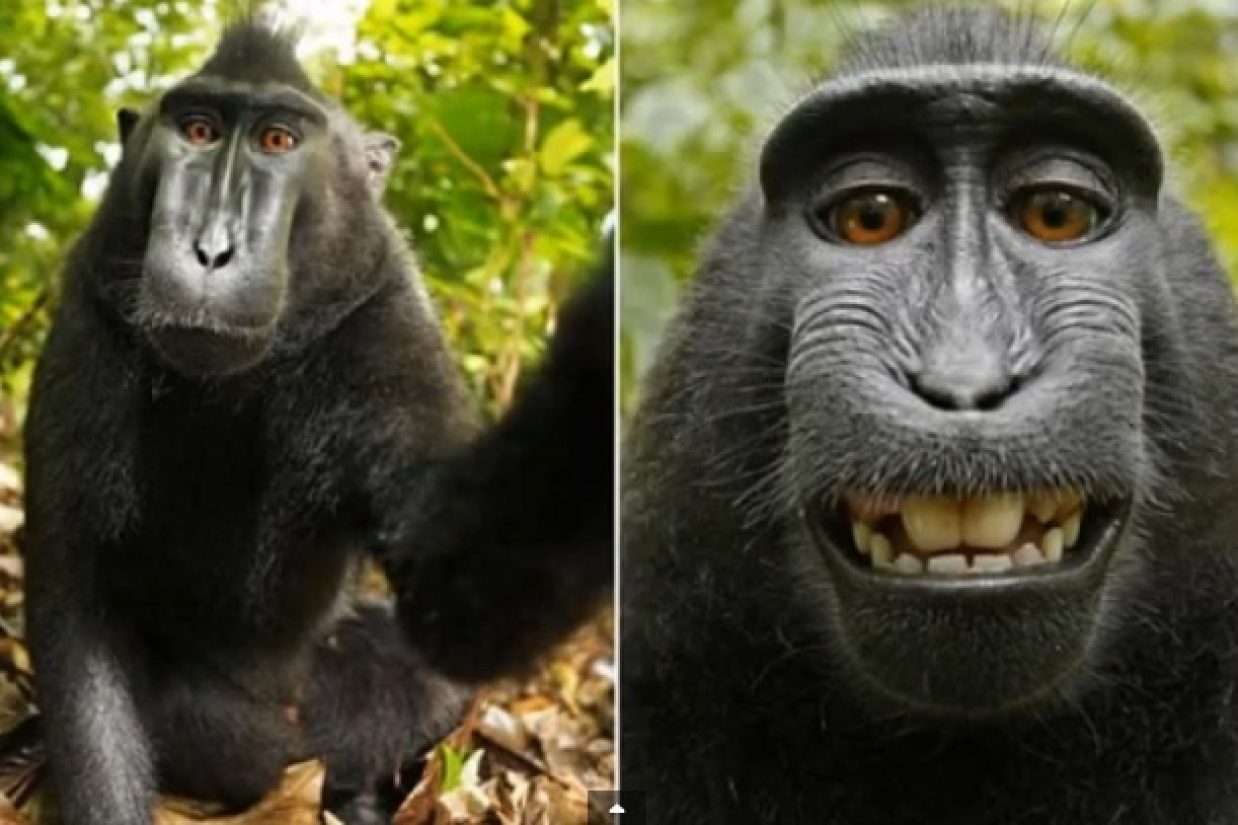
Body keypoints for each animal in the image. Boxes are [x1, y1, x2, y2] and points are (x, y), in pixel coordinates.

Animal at [21, 20, 612, 825]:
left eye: (277, 141)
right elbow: (76, 605)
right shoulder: (90, 323)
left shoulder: (386, 324)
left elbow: (460, 591)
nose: (212, 251)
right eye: (198, 130)